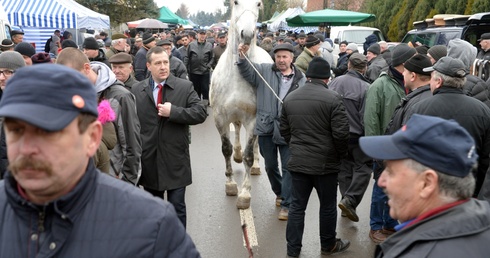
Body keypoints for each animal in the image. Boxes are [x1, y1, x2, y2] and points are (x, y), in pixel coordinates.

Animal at [210, 0, 274, 210]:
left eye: (258, 3)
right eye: (236, 2)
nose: (246, 34)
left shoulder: (253, 119)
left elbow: (248, 154)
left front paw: (245, 193)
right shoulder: (220, 118)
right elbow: (226, 149)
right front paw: (230, 184)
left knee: (254, 145)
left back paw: (255, 165)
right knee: (237, 130)